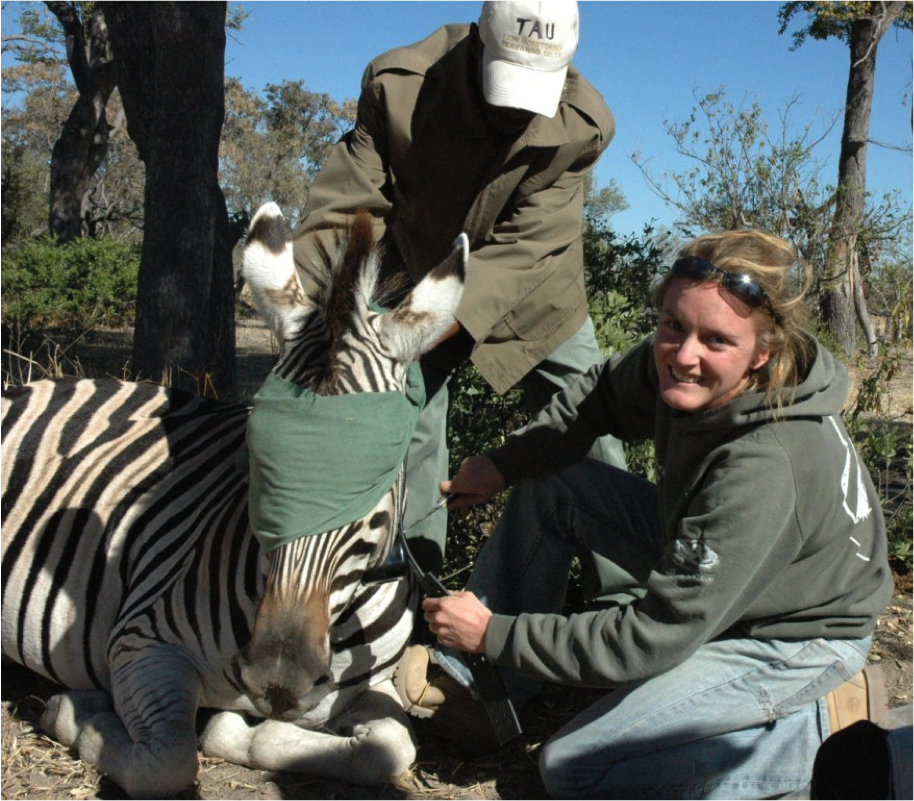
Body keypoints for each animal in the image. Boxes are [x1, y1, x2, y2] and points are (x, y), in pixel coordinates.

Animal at [0, 203, 466, 796]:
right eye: (253, 457)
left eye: (377, 476)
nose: (277, 678)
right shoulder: (139, 642)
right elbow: (166, 761)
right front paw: (74, 712)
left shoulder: (374, 683)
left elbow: (392, 748)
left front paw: (240, 728)